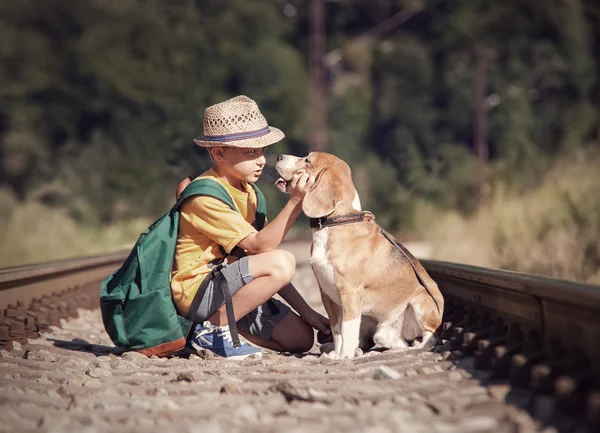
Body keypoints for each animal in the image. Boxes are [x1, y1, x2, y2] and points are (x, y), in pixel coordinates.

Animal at [274, 151, 442, 358]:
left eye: (307, 160)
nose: (279, 156)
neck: (335, 223)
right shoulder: (327, 295)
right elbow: (337, 330)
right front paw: (336, 354)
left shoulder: (350, 292)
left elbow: (347, 328)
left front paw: (344, 356)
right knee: (382, 337)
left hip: (421, 302)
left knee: (429, 337)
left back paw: (414, 347)